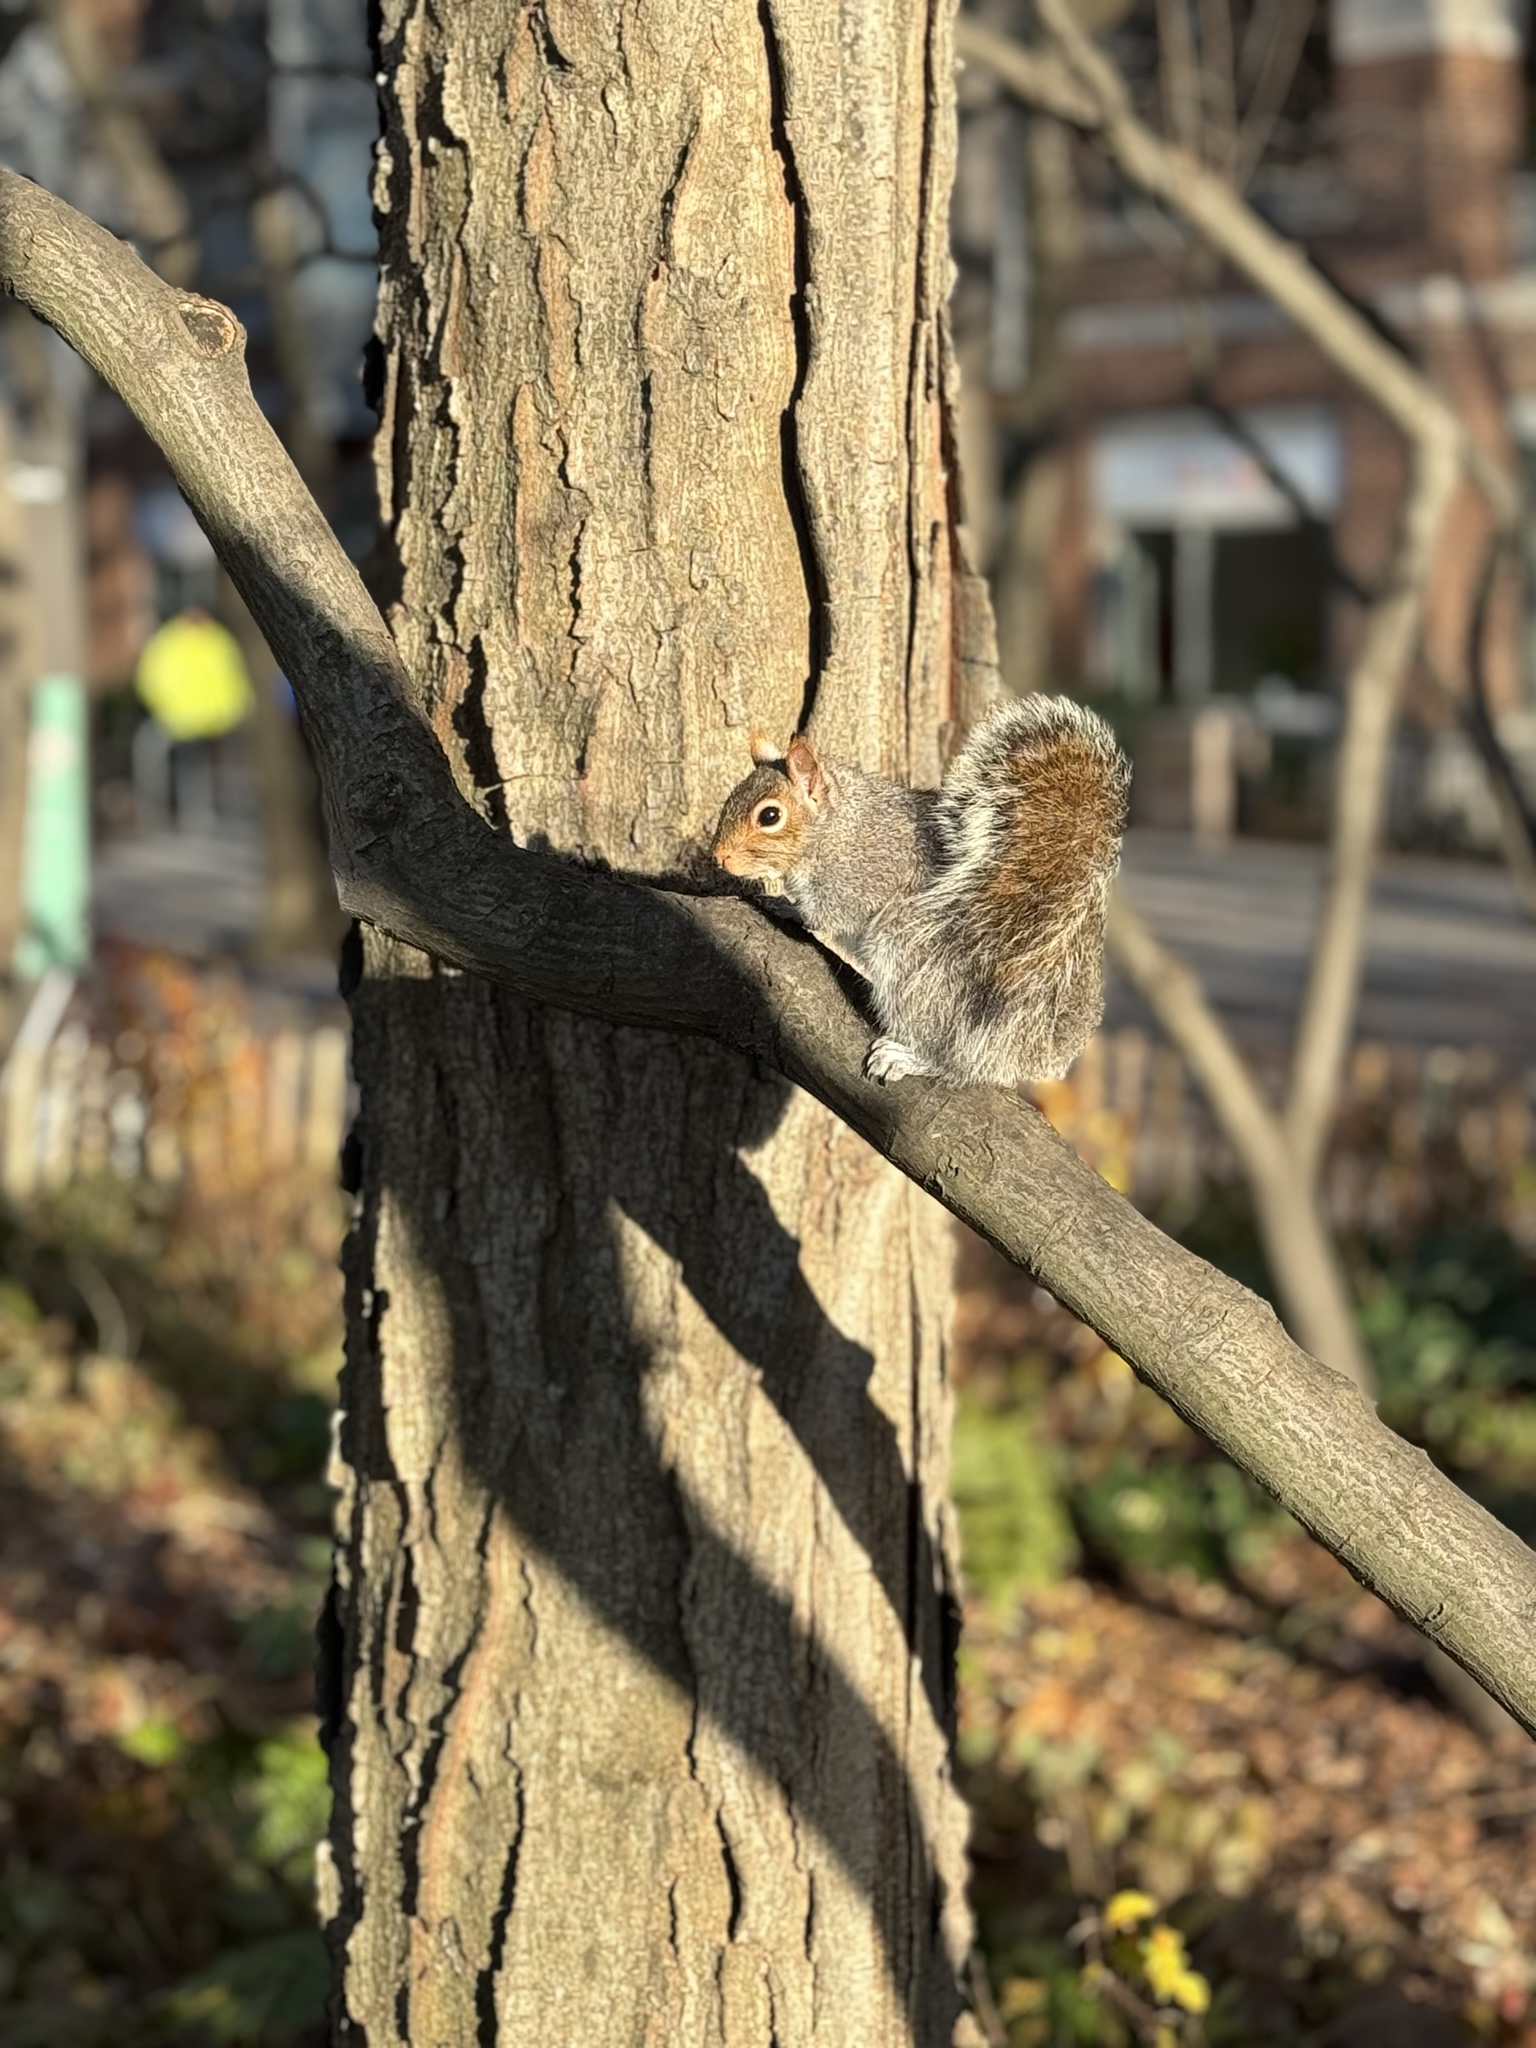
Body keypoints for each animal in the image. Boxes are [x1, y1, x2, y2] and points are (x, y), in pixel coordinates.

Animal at [711, 694, 1130, 1087]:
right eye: (730, 797)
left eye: (770, 816)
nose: (718, 857)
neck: (838, 827)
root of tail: (1042, 1048)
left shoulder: (862, 878)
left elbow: (827, 914)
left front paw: (784, 902)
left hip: (914, 960)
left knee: (953, 1057)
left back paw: (912, 1057)